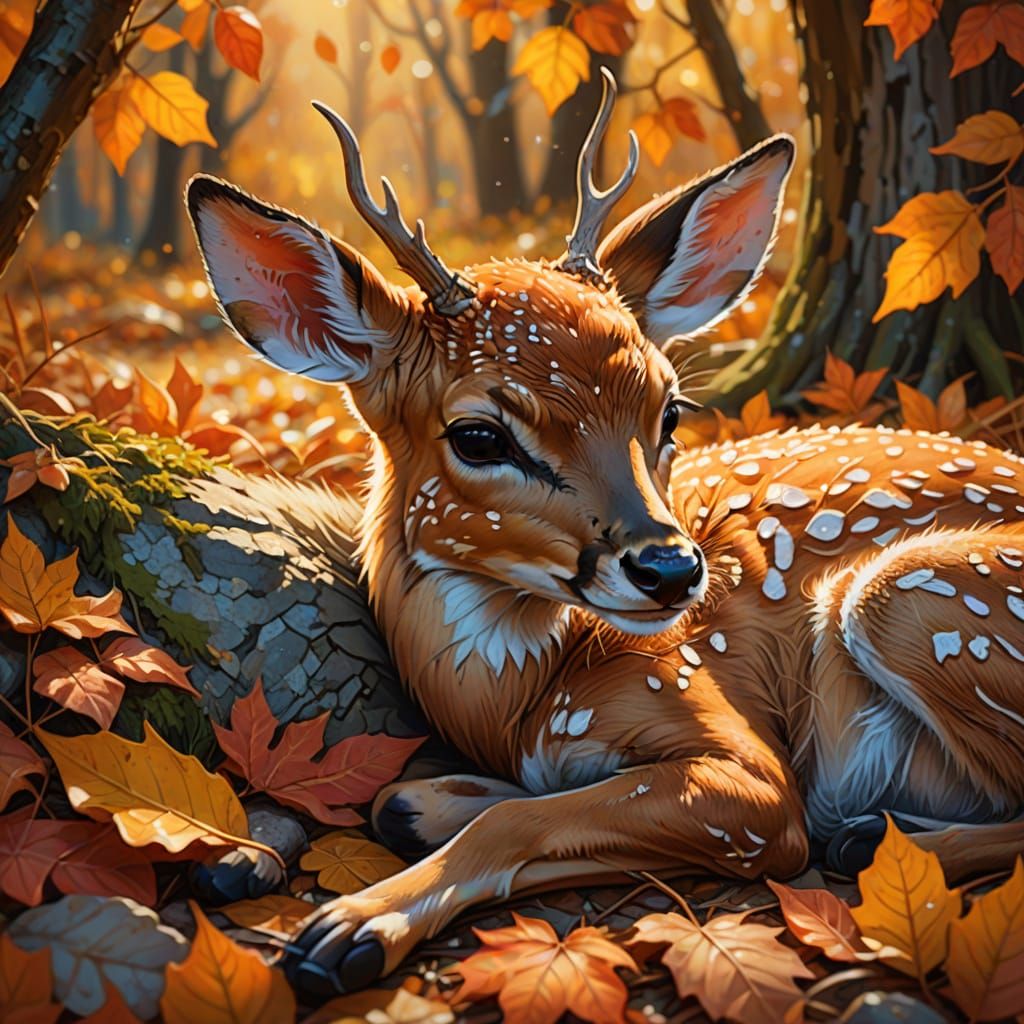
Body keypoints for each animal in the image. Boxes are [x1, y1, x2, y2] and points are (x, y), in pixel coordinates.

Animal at [186, 70, 1024, 997]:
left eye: (671, 411)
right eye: (478, 435)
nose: (672, 570)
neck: (519, 702)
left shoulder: (746, 765)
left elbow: (516, 824)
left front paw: (350, 928)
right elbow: (410, 800)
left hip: (907, 598)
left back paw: (873, 835)